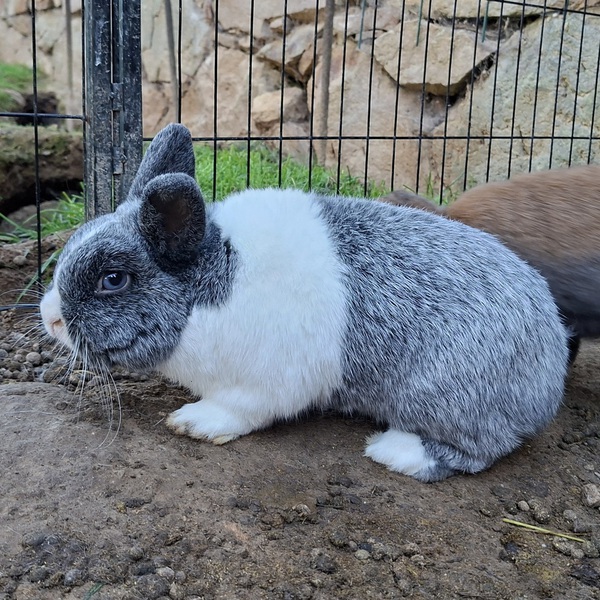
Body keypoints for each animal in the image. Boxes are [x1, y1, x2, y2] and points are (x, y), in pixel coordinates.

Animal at [40, 123, 568, 482]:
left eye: (113, 279)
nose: (51, 318)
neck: (208, 291)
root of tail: (550, 361)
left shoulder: (262, 384)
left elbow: (239, 411)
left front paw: (194, 422)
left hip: (442, 392)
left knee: (480, 448)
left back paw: (392, 451)